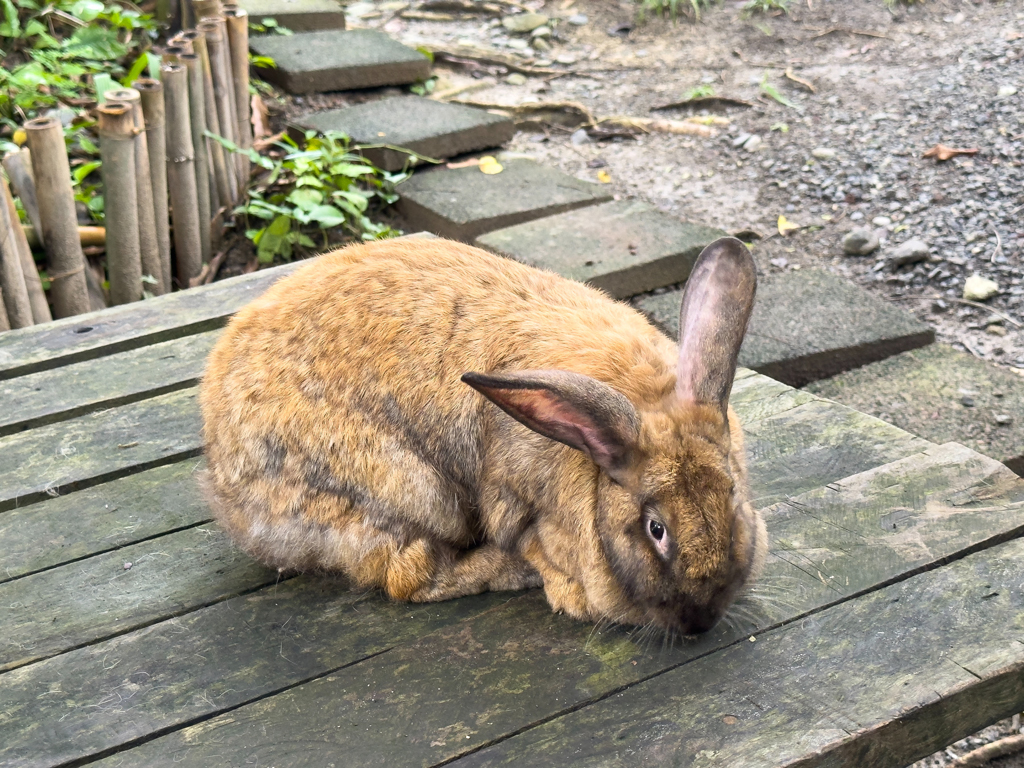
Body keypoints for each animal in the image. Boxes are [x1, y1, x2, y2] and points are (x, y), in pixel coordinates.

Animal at [199, 236, 765, 638]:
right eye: (655, 529)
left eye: (733, 495)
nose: (701, 622)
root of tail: (224, 485)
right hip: (413, 492)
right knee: (407, 576)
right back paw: (508, 571)